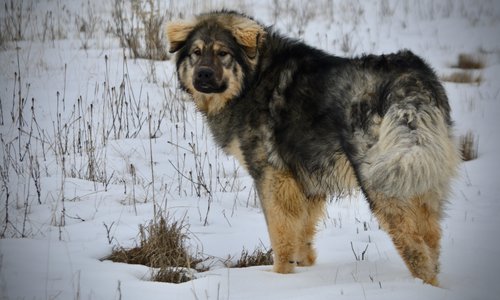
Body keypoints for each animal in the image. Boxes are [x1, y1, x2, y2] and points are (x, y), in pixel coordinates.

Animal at [166, 9, 458, 286]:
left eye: (223, 53)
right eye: (196, 53)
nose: (203, 74)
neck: (254, 77)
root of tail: (409, 77)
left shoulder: (272, 176)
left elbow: (280, 233)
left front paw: (279, 277)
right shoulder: (306, 182)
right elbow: (302, 233)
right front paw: (304, 270)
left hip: (382, 180)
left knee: (414, 246)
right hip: (420, 175)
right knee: (431, 237)